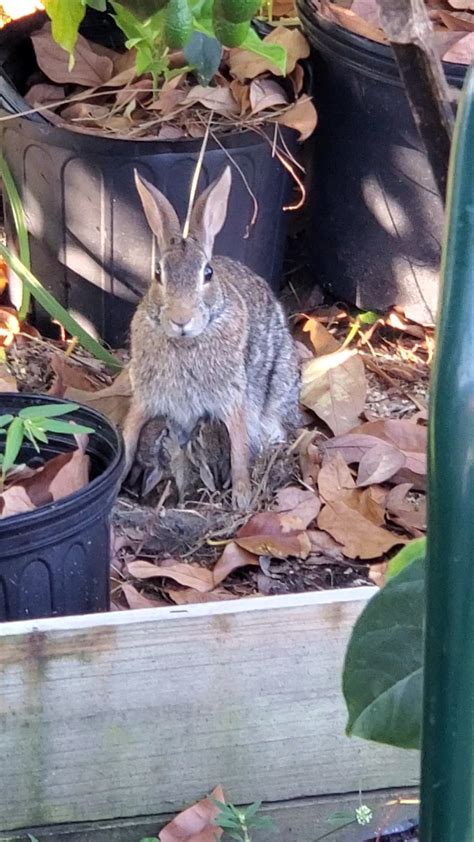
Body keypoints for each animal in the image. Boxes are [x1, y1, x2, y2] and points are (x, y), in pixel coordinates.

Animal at [123, 164, 300, 506]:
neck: (185, 342)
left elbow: (239, 450)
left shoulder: (232, 400)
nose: (181, 320)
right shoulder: (145, 400)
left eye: (208, 273)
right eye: (158, 274)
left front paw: (242, 498)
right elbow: (126, 437)